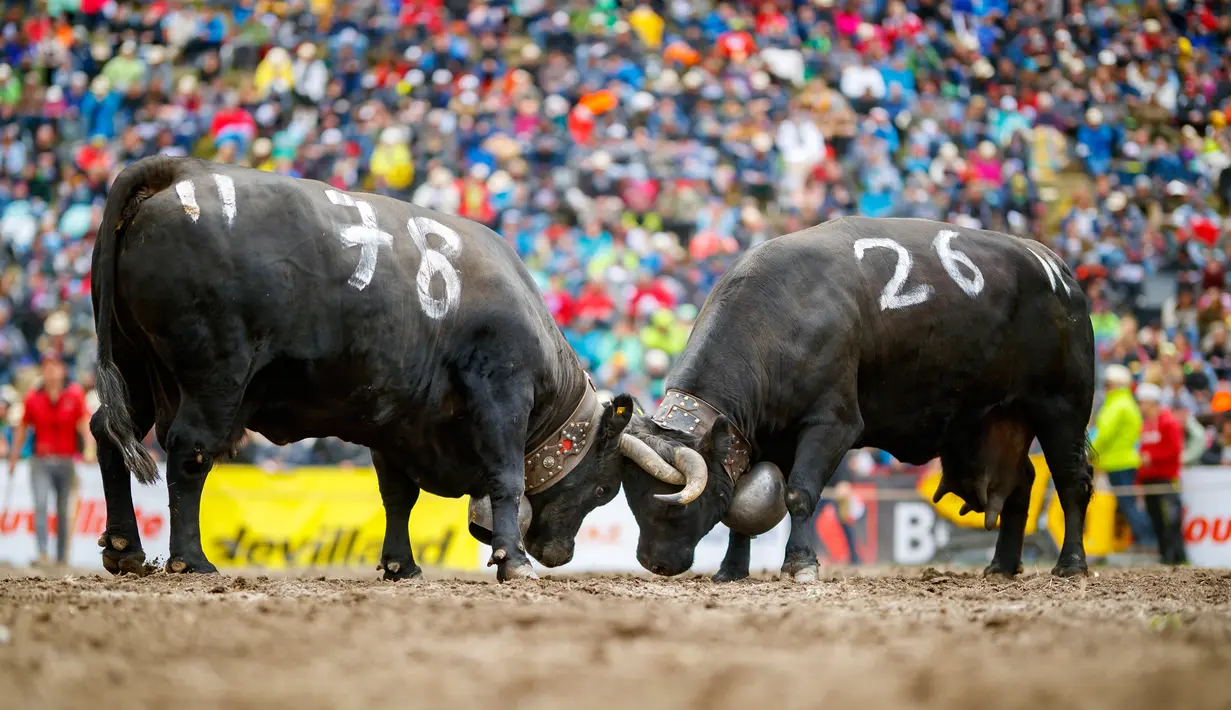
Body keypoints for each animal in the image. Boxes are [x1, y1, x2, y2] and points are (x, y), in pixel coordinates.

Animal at [89, 156, 640, 580]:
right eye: (603, 488)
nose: (557, 554)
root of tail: (180, 169)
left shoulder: (395, 418)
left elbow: (398, 496)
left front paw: (401, 564)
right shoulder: (503, 392)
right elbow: (507, 477)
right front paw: (514, 561)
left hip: (133, 368)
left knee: (108, 433)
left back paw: (125, 548)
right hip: (214, 376)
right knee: (189, 452)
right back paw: (190, 559)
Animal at [615, 216, 1098, 580]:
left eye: (673, 503)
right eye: (634, 500)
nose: (653, 562)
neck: (781, 318)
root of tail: (1058, 270)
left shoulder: (834, 424)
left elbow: (798, 494)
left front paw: (800, 563)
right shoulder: (759, 438)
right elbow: (742, 507)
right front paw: (732, 569)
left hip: (1062, 409)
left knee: (1071, 481)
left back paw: (1071, 563)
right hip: (996, 423)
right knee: (1022, 484)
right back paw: (1001, 565)